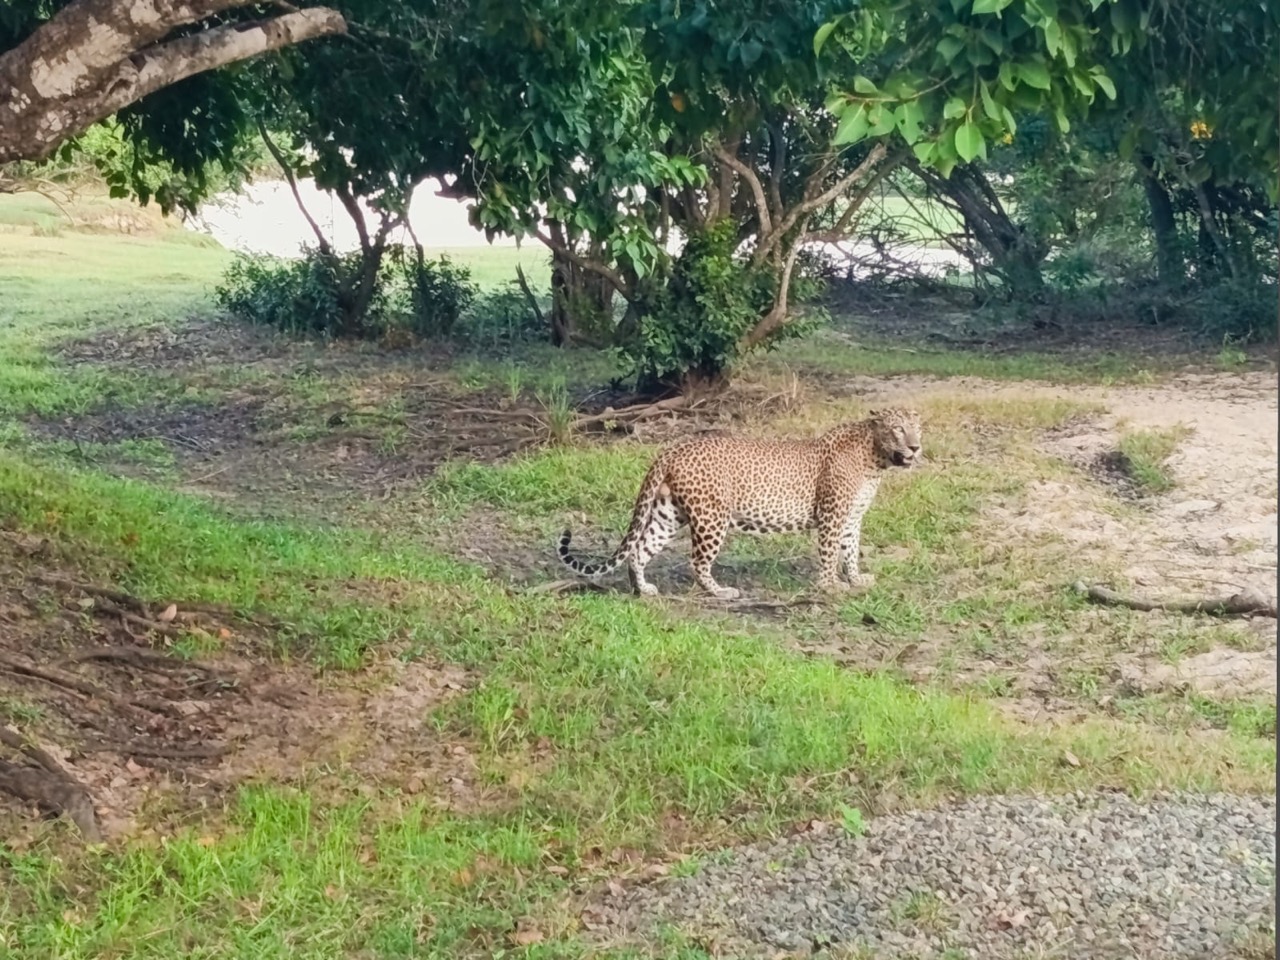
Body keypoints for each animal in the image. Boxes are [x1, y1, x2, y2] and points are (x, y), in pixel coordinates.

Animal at [557, 407, 922, 599]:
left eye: (918, 429)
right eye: (897, 429)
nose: (916, 448)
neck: (874, 460)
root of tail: (673, 448)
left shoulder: (852, 517)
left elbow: (851, 550)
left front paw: (856, 580)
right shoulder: (833, 515)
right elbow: (831, 552)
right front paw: (830, 586)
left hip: (668, 513)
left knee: (640, 549)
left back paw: (643, 587)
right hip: (711, 518)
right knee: (697, 562)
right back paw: (720, 591)